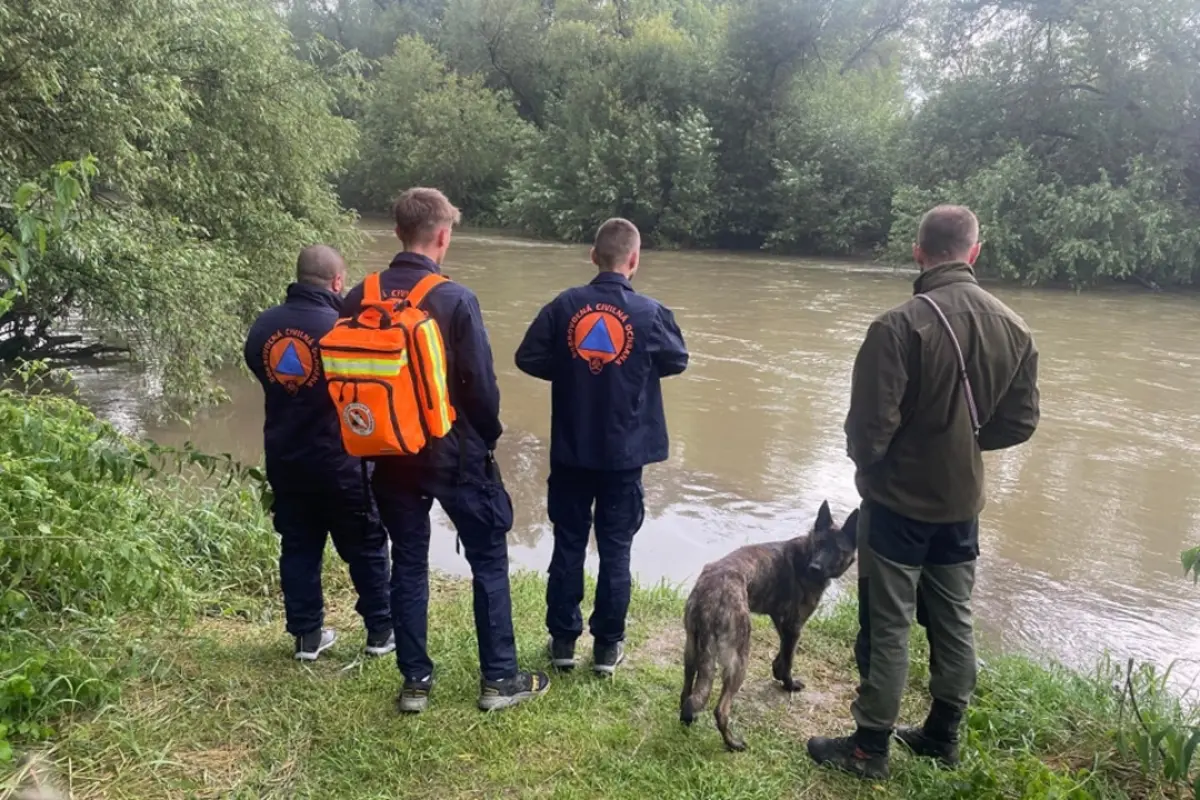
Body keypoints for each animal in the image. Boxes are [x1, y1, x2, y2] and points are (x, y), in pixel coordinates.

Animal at [681, 503, 859, 753]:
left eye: (838, 550)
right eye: (820, 543)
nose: (815, 568)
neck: (806, 554)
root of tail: (710, 596)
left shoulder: (781, 620)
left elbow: (783, 650)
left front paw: (777, 670)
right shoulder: (796, 625)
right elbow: (790, 657)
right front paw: (788, 683)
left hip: (691, 649)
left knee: (686, 693)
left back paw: (687, 720)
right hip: (739, 661)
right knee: (720, 709)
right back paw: (732, 742)